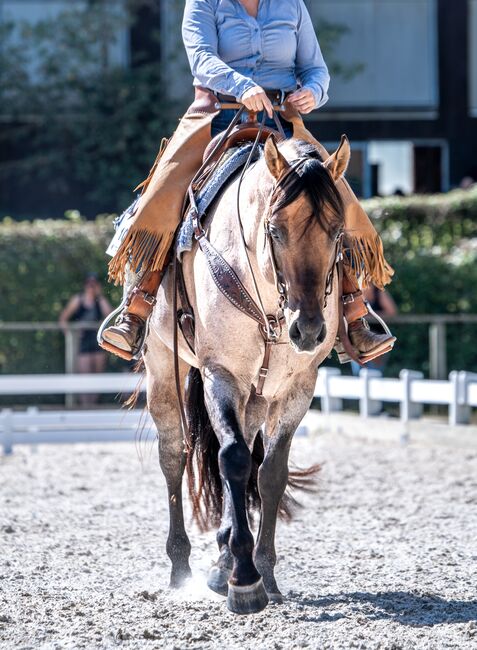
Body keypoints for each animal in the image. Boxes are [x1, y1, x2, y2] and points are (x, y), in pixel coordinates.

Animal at [143, 133, 350, 615]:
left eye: (337, 232)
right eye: (275, 231)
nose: (308, 329)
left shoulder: (298, 388)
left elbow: (269, 473)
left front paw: (264, 573)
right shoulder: (223, 374)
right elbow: (234, 459)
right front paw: (244, 580)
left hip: (257, 396)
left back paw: (220, 561)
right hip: (163, 369)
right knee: (174, 455)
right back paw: (181, 567)